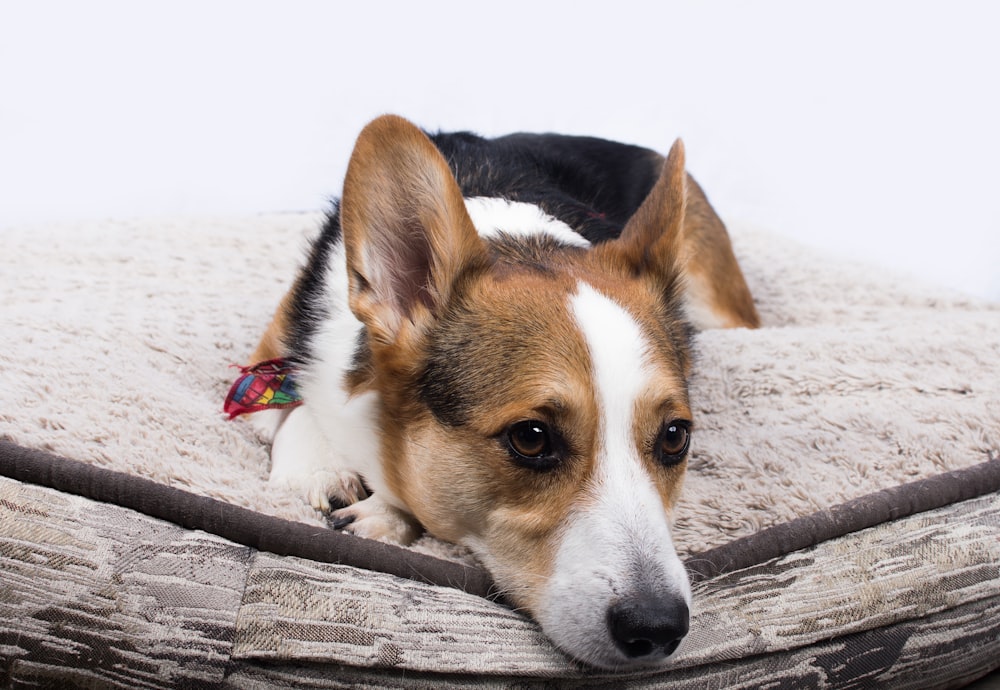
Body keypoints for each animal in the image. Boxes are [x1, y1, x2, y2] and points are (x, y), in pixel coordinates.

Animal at [236, 115, 756, 668]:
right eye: (531, 437)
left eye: (675, 436)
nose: (659, 628)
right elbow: (290, 405)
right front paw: (319, 467)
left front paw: (383, 513)